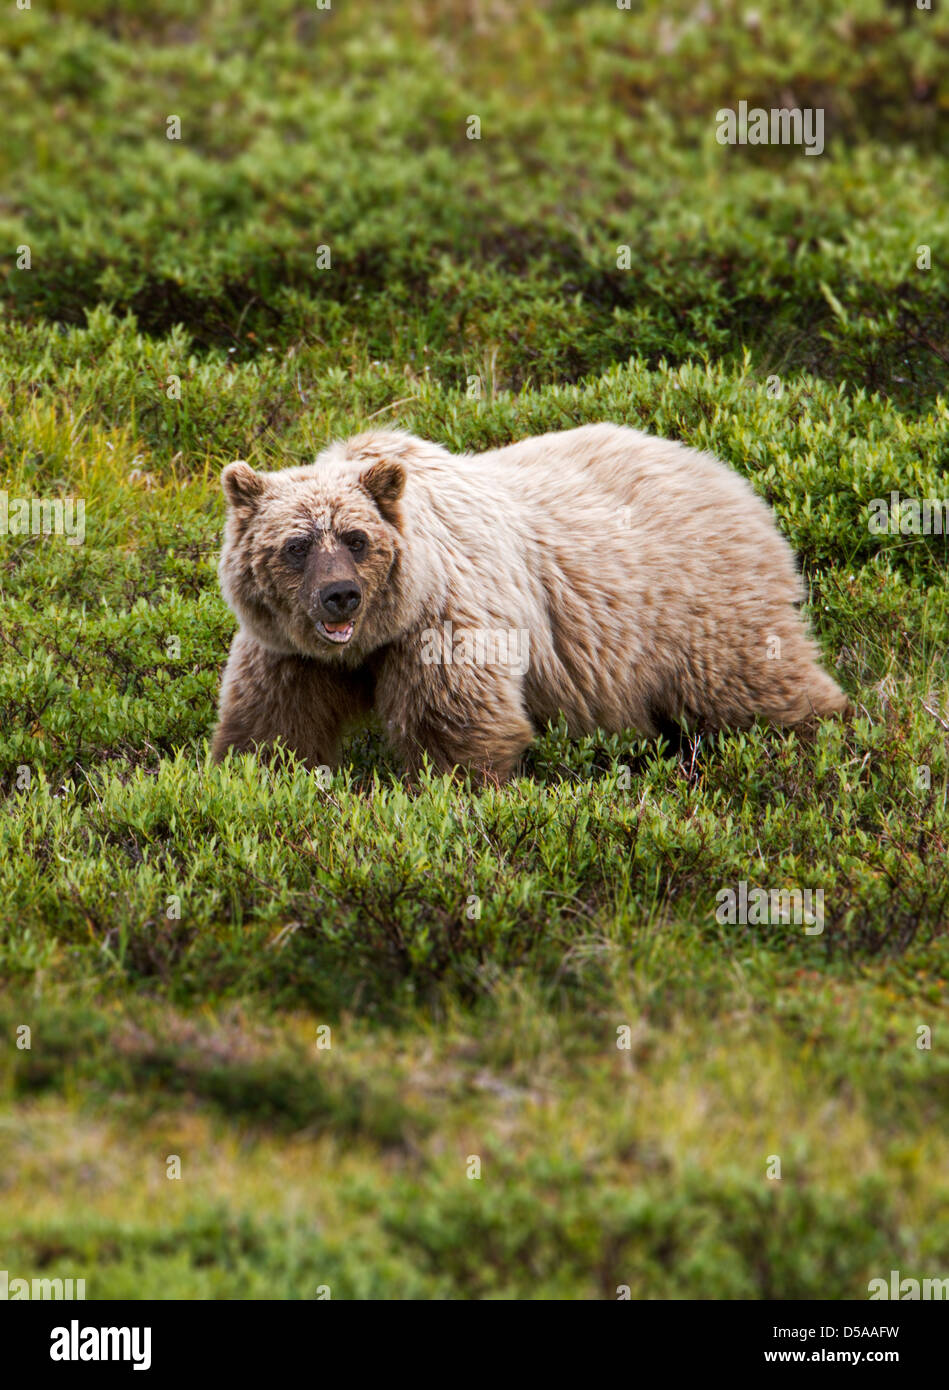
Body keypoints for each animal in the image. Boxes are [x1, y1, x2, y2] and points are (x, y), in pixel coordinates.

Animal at [211, 422, 850, 782]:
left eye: (355, 538)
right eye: (296, 545)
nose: (340, 596)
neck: (375, 637)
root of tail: (727, 474)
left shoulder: (445, 621)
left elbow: (458, 725)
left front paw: (455, 791)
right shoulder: (289, 653)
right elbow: (272, 726)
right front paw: (251, 779)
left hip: (698, 605)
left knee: (755, 684)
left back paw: (818, 735)